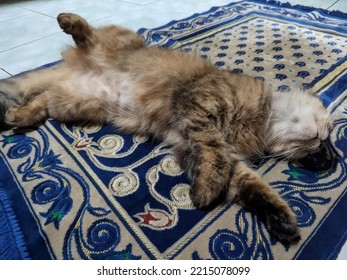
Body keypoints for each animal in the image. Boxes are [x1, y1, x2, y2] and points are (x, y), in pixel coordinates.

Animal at [0, 12, 334, 245]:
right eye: (328, 136)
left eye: (323, 147)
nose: (327, 157)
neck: (261, 122)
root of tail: (71, 70)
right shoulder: (199, 106)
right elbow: (215, 152)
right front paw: (206, 191)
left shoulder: (201, 149)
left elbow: (255, 189)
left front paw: (282, 221)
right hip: (115, 45)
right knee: (89, 35)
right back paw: (69, 21)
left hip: (75, 104)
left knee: (43, 97)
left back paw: (19, 114)